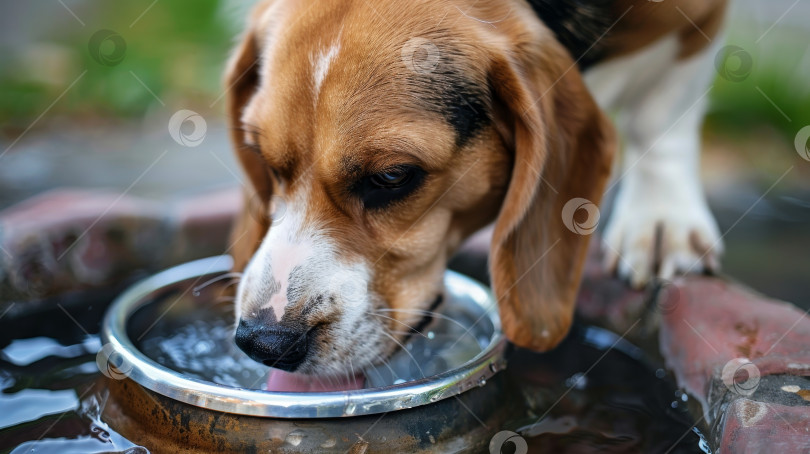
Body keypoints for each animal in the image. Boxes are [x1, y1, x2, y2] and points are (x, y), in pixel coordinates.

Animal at [226, 0, 724, 390]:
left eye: (392, 176)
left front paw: (664, 220)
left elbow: (661, 116)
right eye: (260, 157)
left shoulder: (694, 24)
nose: (263, 342)